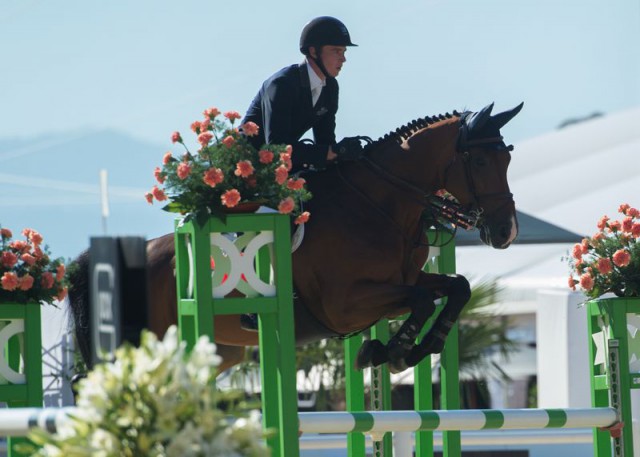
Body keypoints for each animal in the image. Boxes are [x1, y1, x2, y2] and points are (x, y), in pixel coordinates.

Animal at [69, 102, 520, 374]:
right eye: (481, 161)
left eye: (507, 159)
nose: (506, 232)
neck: (381, 207)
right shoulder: (346, 305)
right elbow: (424, 299)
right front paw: (388, 353)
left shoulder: (402, 283)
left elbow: (455, 289)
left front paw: (417, 349)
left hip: (217, 353)